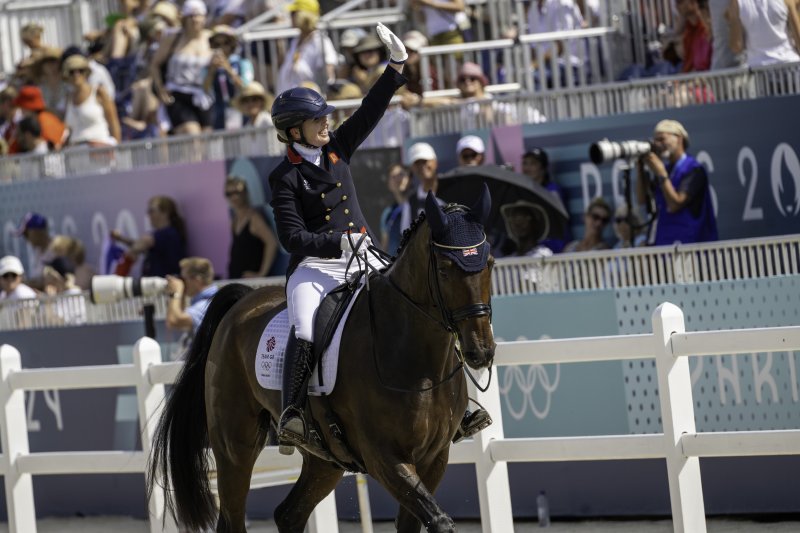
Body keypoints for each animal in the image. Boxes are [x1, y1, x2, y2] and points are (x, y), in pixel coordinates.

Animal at [144, 186, 494, 528]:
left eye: (488, 262)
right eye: (445, 269)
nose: (480, 350)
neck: (417, 361)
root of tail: (243, 301)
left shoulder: (434, 458)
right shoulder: (385, 457)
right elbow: (439, 520)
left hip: (325, 458)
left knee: (289, 513)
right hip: (235, 446)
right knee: (233, 516)